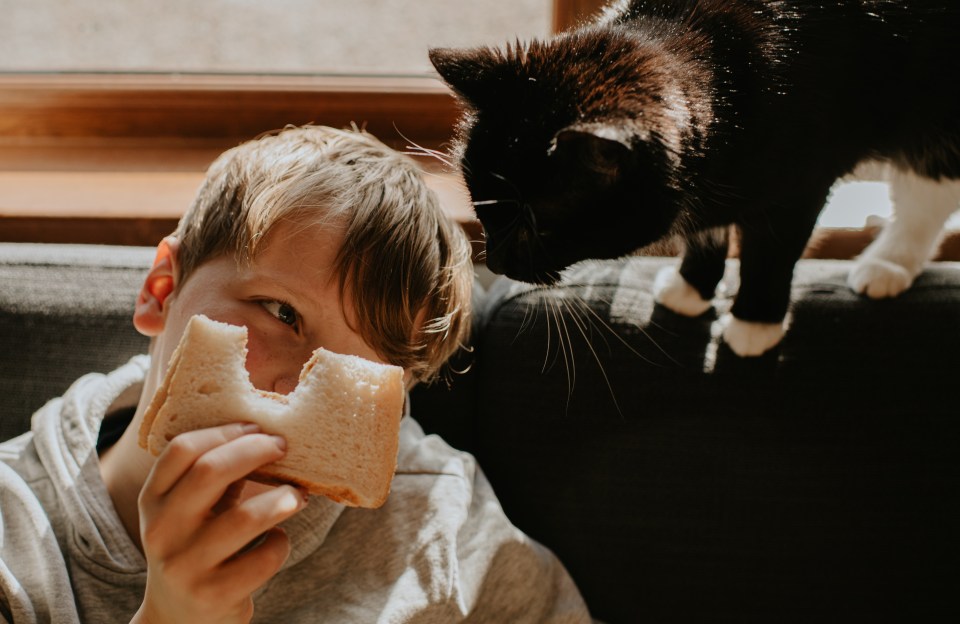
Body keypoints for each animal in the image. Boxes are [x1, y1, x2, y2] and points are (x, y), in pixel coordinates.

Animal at [430, 1, 960, 356]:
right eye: (480, 206)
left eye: (536, 226)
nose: (496, 263)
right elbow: (709, 229)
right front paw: (693, 288)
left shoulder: (801, 183)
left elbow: (773, 250)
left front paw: (754, 322)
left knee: (929, 189)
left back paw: (889, 262)